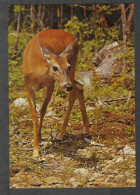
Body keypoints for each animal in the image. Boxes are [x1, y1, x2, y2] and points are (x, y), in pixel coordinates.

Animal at [22, 29, 88, 157]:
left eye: (68, 66)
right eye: (55, 67)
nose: (67, 86)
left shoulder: (50, 83)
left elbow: (43, 110)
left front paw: (37, 145)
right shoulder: (28, 86)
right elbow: (34, 115)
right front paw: (36, 145)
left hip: (72, 70)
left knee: (74, 92)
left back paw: (60, 135)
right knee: (79, 86)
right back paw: (85, 129)